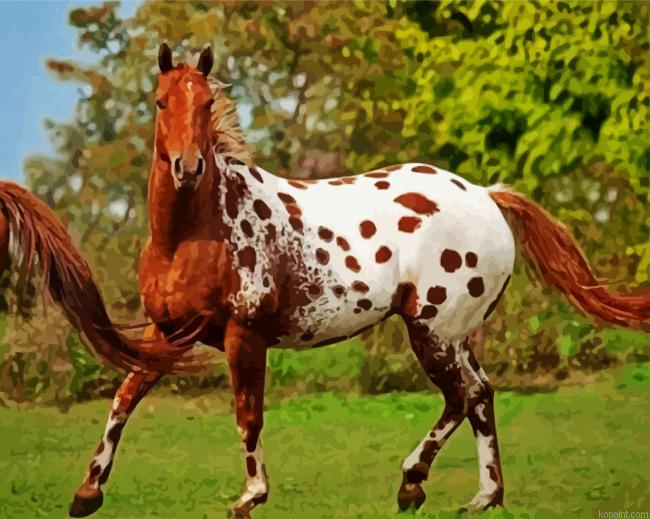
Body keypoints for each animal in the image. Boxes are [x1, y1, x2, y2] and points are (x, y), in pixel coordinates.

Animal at [0, 44, 648, 518]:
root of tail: (485, 195)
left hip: (432, 330)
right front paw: (87, 493)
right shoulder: (167, 333)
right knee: (482, 394)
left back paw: (412, 483)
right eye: (161, 101)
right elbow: (124, 399)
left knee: (460, 397)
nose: (188, 167)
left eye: (206, 103)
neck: (194, 232)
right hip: (456, 332)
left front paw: (250, 496)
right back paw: (483, 496)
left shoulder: (243, 335)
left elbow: (248, 413)